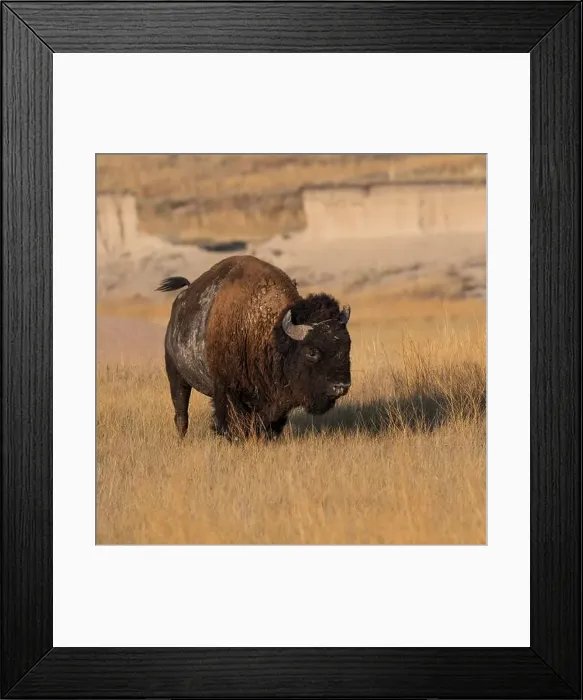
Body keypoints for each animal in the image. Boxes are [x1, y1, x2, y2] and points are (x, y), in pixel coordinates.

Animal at [157, 255, 351, 440]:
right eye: (312, 351)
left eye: (347, 346)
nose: (341, 386)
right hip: (176, 376)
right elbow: (234, 421)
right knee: (181, 413)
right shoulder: (229, 391)